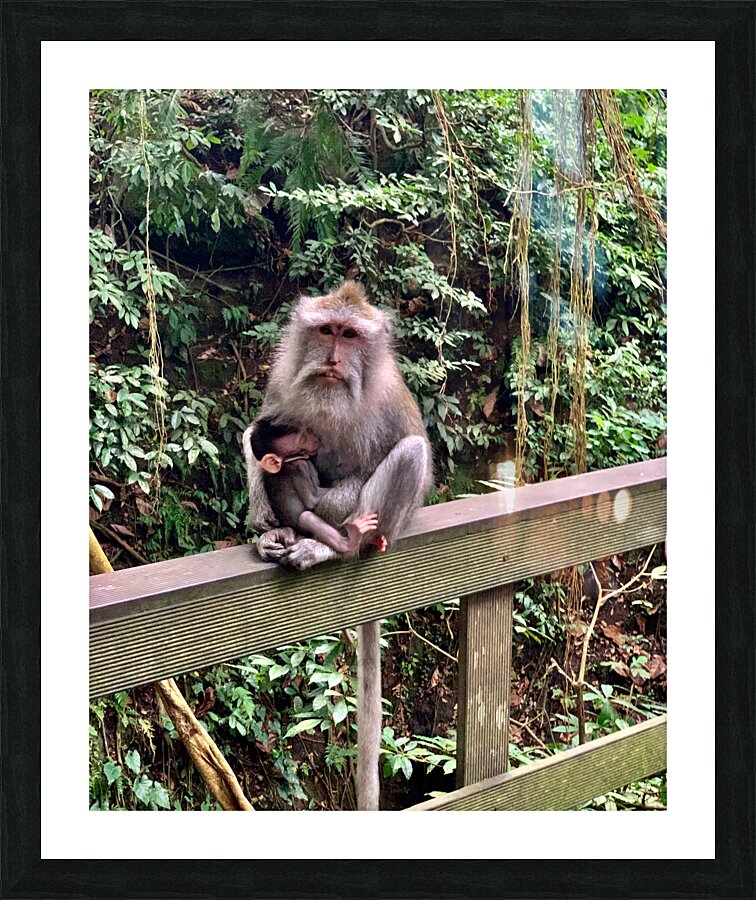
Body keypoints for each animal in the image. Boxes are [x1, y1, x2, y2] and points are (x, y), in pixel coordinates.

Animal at [248, 415, 380, 556]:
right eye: (302, 440)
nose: (315, 439)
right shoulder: (299, 466)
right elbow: (312, 499)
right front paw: (365, 471)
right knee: (306, 517)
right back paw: (351, 540)